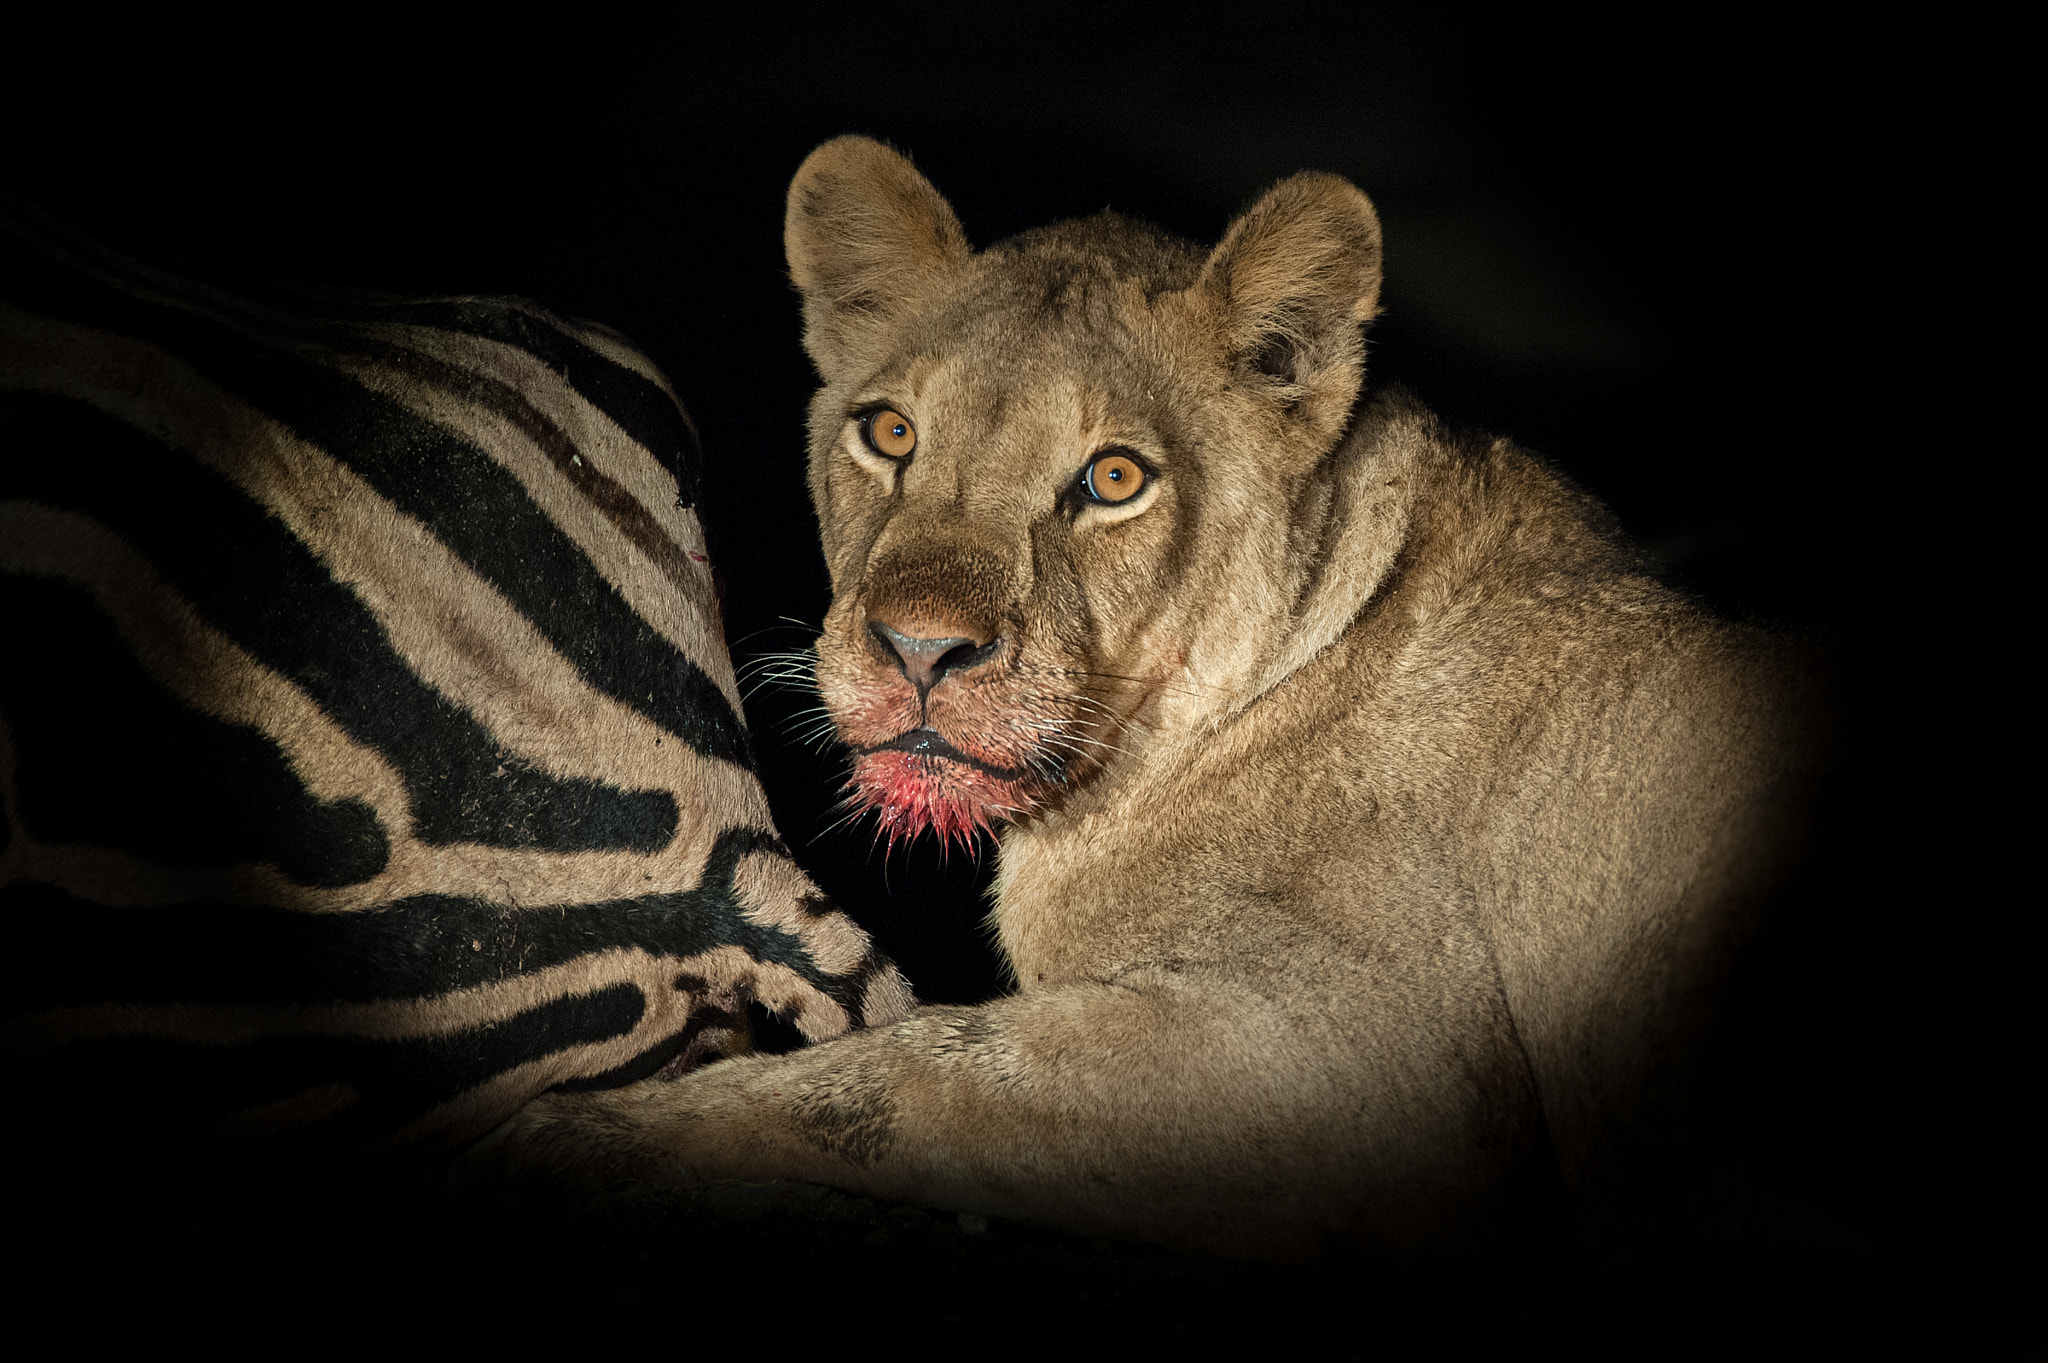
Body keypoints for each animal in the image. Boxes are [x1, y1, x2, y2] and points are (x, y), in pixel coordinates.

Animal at [479, 136, 1829, 1260]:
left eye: (1114, 479)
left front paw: (580, 1139)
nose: (917, 649)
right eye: (889, 433)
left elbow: (919, 1071)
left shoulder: (1384, 1067)